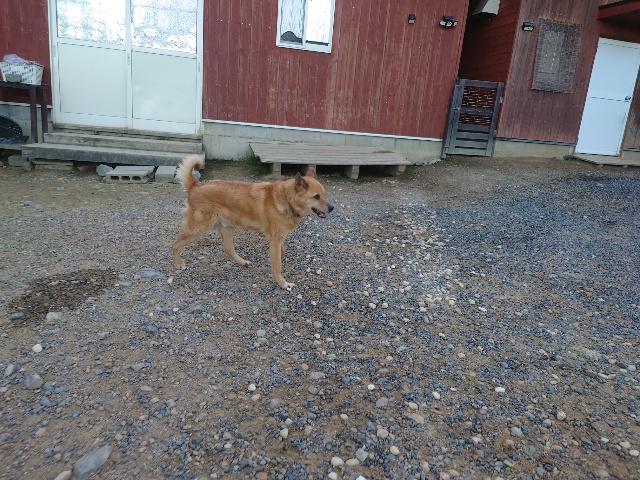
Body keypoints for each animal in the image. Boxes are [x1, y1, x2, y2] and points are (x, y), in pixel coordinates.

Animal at [172, 155, 334, 289]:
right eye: (316, 197)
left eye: (325, 195)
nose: (332, 208)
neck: (287, 200)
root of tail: (195, 186)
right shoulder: (274, 240)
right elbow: (277, 265)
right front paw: (283, 283)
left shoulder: (278, 238)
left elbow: (281, 252)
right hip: (198, 230)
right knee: (175, 244)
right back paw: (179, 264)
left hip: (227, 227)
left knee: (228, 248)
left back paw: (243, 262)